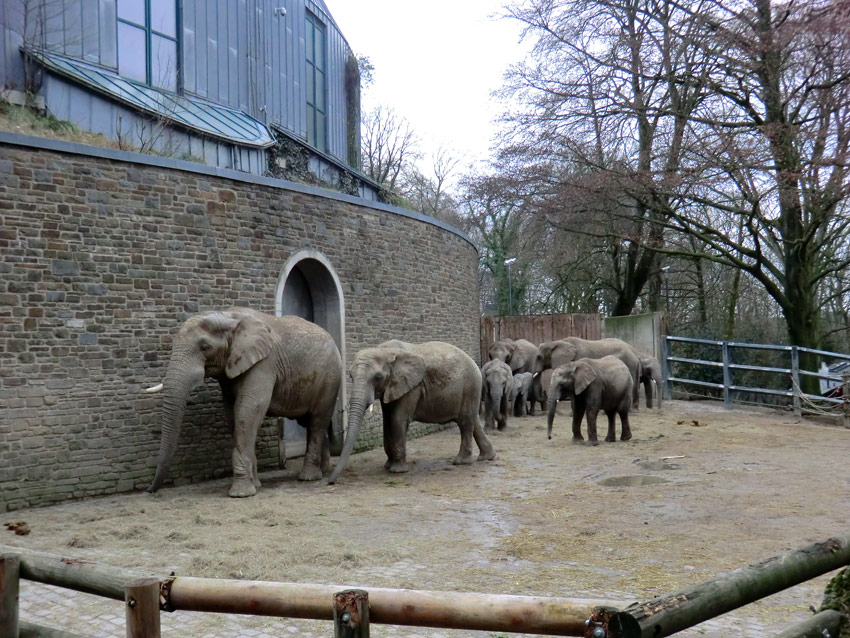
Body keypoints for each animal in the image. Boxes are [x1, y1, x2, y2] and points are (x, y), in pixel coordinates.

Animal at [145, 308, 342, 498]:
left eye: (205, 347)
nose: (150, 491)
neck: (228, 316)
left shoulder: (264, 364)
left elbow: (248, 411)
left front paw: (241, 493)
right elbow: (233, 414)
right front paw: (255, 484)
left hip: (330, 378)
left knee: (317, 422)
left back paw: (309, 477)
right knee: (309, 423)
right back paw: (324, 471)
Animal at [326, 340, 496, 484]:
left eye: (378, 377)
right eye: (350, 375)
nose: (330, 482)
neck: (385, 351)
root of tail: (475, 363)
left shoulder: (412, 387)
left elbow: (397, 419)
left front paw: (397, 470)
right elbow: (387, 420)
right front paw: (388, 465)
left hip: (470, 386)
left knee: (465, 423)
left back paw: (461, 462)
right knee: (473, 421)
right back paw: (487, 457)